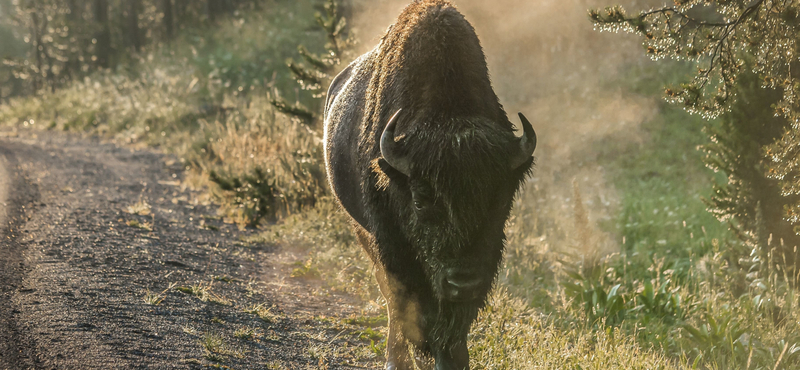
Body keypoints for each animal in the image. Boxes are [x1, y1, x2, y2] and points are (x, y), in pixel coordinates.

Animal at [322, 1, 536, 368]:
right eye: (421, 199)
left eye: (500, 200)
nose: (462, 281)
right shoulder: (392, 244)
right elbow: (409, 304)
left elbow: (452, 325)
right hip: (363, 233)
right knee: (390, 296)